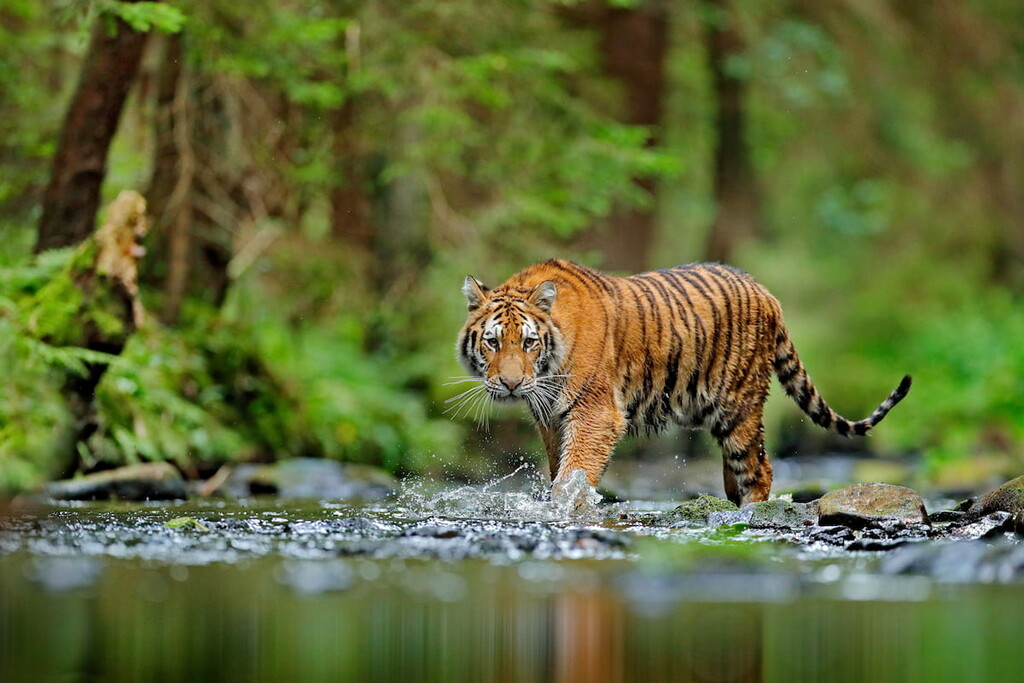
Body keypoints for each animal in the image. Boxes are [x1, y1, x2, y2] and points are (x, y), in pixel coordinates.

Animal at [454, 259, 911, 506]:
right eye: (493, 342)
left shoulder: (595, 413)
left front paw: (566, 508)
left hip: (739, 406)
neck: (547, 369)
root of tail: (766, 292)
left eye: (529, 342)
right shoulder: (551, 419)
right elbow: (558, 470)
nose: (511, 384)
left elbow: (574, 473)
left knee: (759, 469)